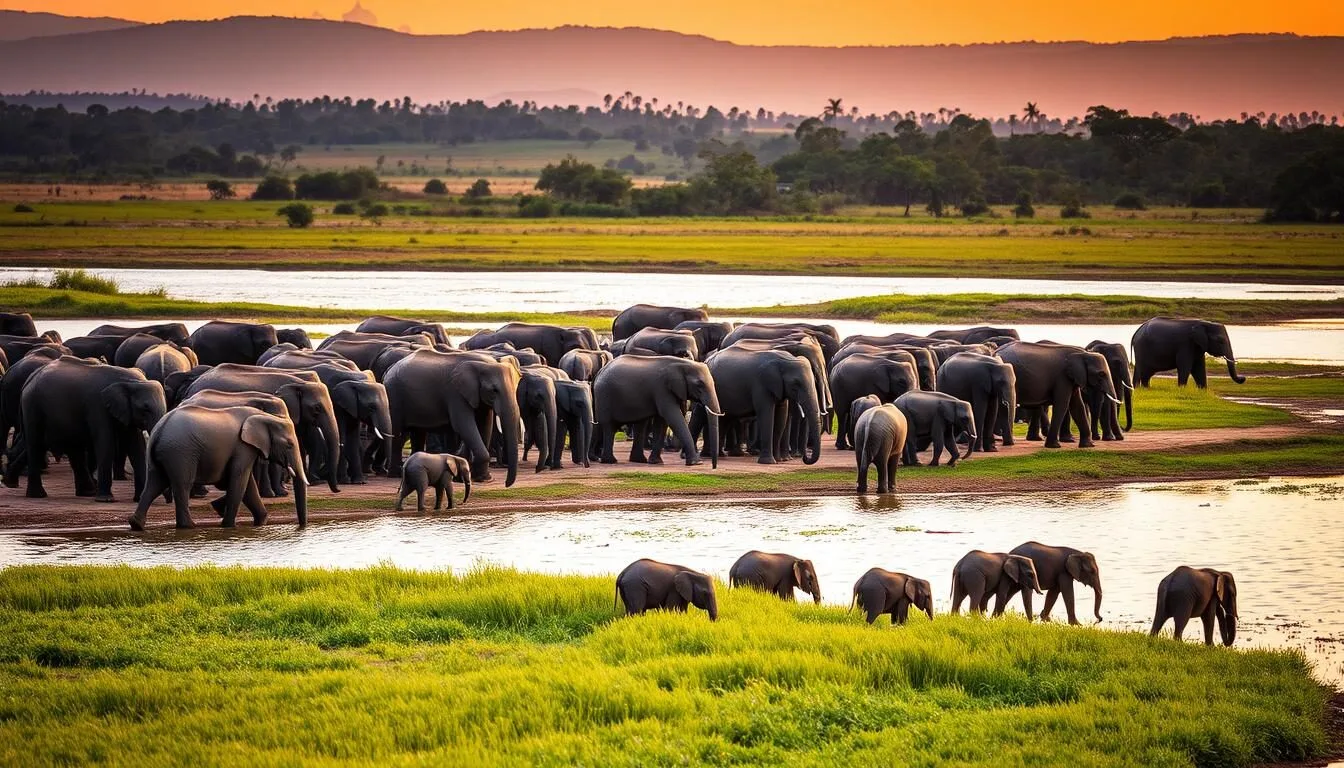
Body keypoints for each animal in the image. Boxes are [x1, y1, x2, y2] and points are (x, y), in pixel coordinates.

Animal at [5, 356, 166, 502]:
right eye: (145, 408)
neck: (130, 381)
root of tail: (30, 379)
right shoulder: (97, 405)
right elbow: (105, 443)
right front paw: (106, 500)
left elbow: (136, 447)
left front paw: (138, 499)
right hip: (33, 406)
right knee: (35, 444)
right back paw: (36, 495)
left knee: (60, 446)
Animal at [129, 405, 307, 530]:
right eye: (290, 445)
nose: (302, 526)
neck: (266, 417)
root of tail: (159, 429)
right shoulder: (243, 447)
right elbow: (240, 481)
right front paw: (228, 526)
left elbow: (247, 484)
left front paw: (261, 521)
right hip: (180, 453)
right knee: (182, 485)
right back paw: (188, 526)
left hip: (163, 454)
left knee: (154, 484)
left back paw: (136, 525)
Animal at [183, 364, 343, 494]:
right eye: (317, 408)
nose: (337, 490)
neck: (299, 382)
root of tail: (192, 387)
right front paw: (280, 492)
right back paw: (201, 493)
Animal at [384, 349, 522, 486]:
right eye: (494, 390)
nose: (506, 484)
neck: (481, 364)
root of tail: (390, 368)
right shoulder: (455, 394)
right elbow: (463, 425)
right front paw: (484, 479)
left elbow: (485, 423)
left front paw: (481, 478)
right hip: (394, 393)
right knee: (397, 432)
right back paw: (395, 474)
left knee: (418, 433)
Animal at [593, 355, 722, 467]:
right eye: (699, 384)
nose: (713, 466)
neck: (684, 363)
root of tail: (600, 372)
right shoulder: (662, 389)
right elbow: (672, 417)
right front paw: (696, 463)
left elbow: (662, 423)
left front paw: (656, 462)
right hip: (604, 396)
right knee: (609, 426)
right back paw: (610, 461)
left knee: (640, 424)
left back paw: (639, 460)